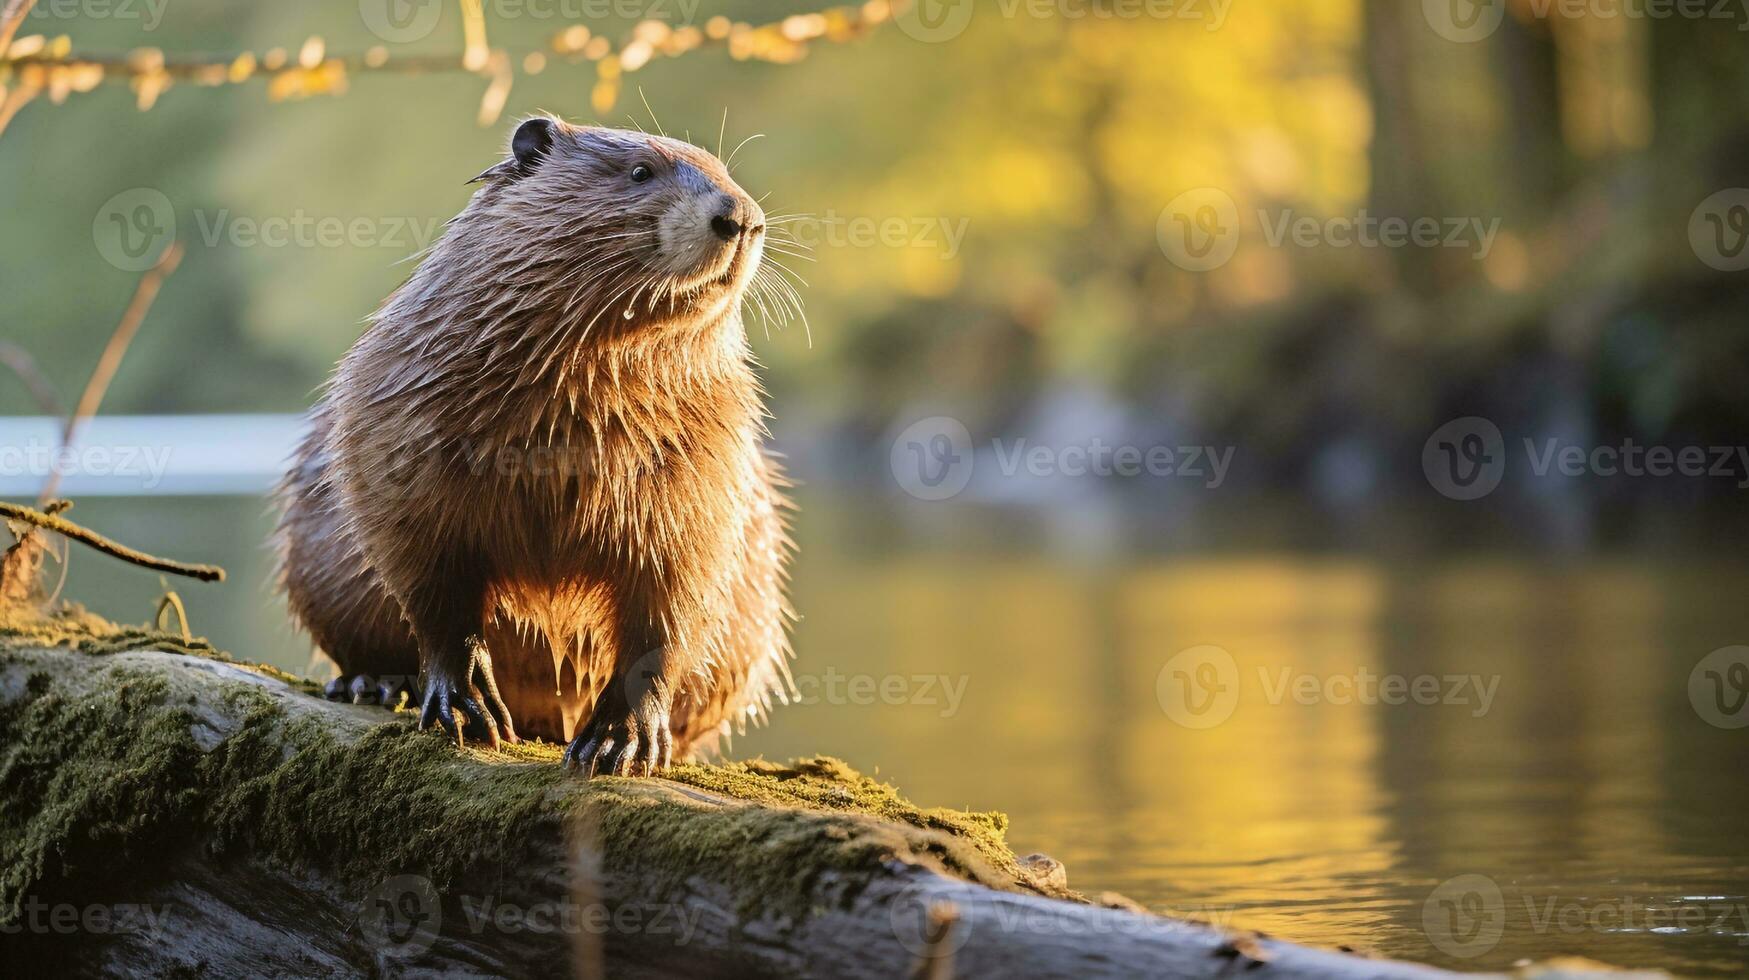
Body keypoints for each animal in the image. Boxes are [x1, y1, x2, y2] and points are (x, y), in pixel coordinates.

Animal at [276, 114, 797, 773]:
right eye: (640, 171)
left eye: (726, 171)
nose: (741, 217)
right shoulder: (391, 423)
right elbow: (430, 581)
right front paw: (466, 707)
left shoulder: (710, 463)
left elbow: (672, 599)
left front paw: (619, 741)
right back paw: (370, 684)